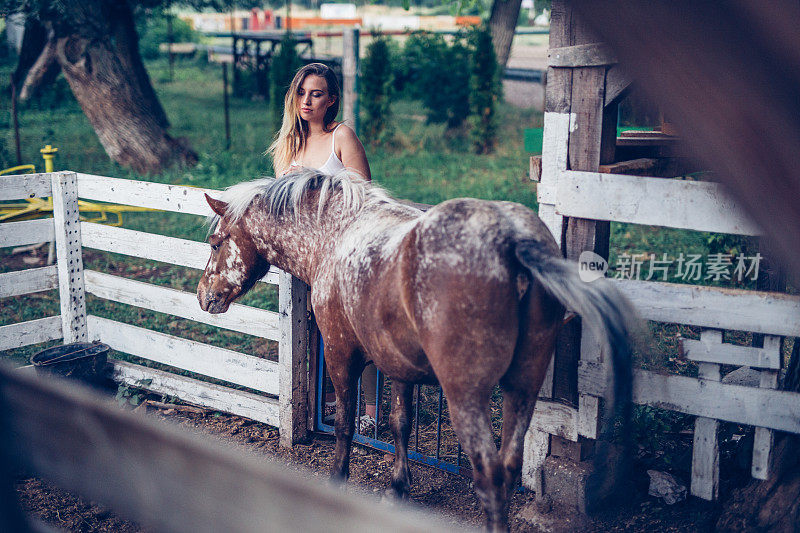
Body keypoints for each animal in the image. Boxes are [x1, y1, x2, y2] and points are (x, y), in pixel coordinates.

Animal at [197, 169, 636, 528]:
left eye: (217, 244)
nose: (204, 297)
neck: (335, 233)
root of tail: (513, 241)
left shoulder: (341, 355)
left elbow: (344, 425)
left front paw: (338, 481)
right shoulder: (399, 367)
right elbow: (400, 424)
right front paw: (398, 490)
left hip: (466, 397)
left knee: (490, 473)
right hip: (522, 388)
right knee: (510, 466)